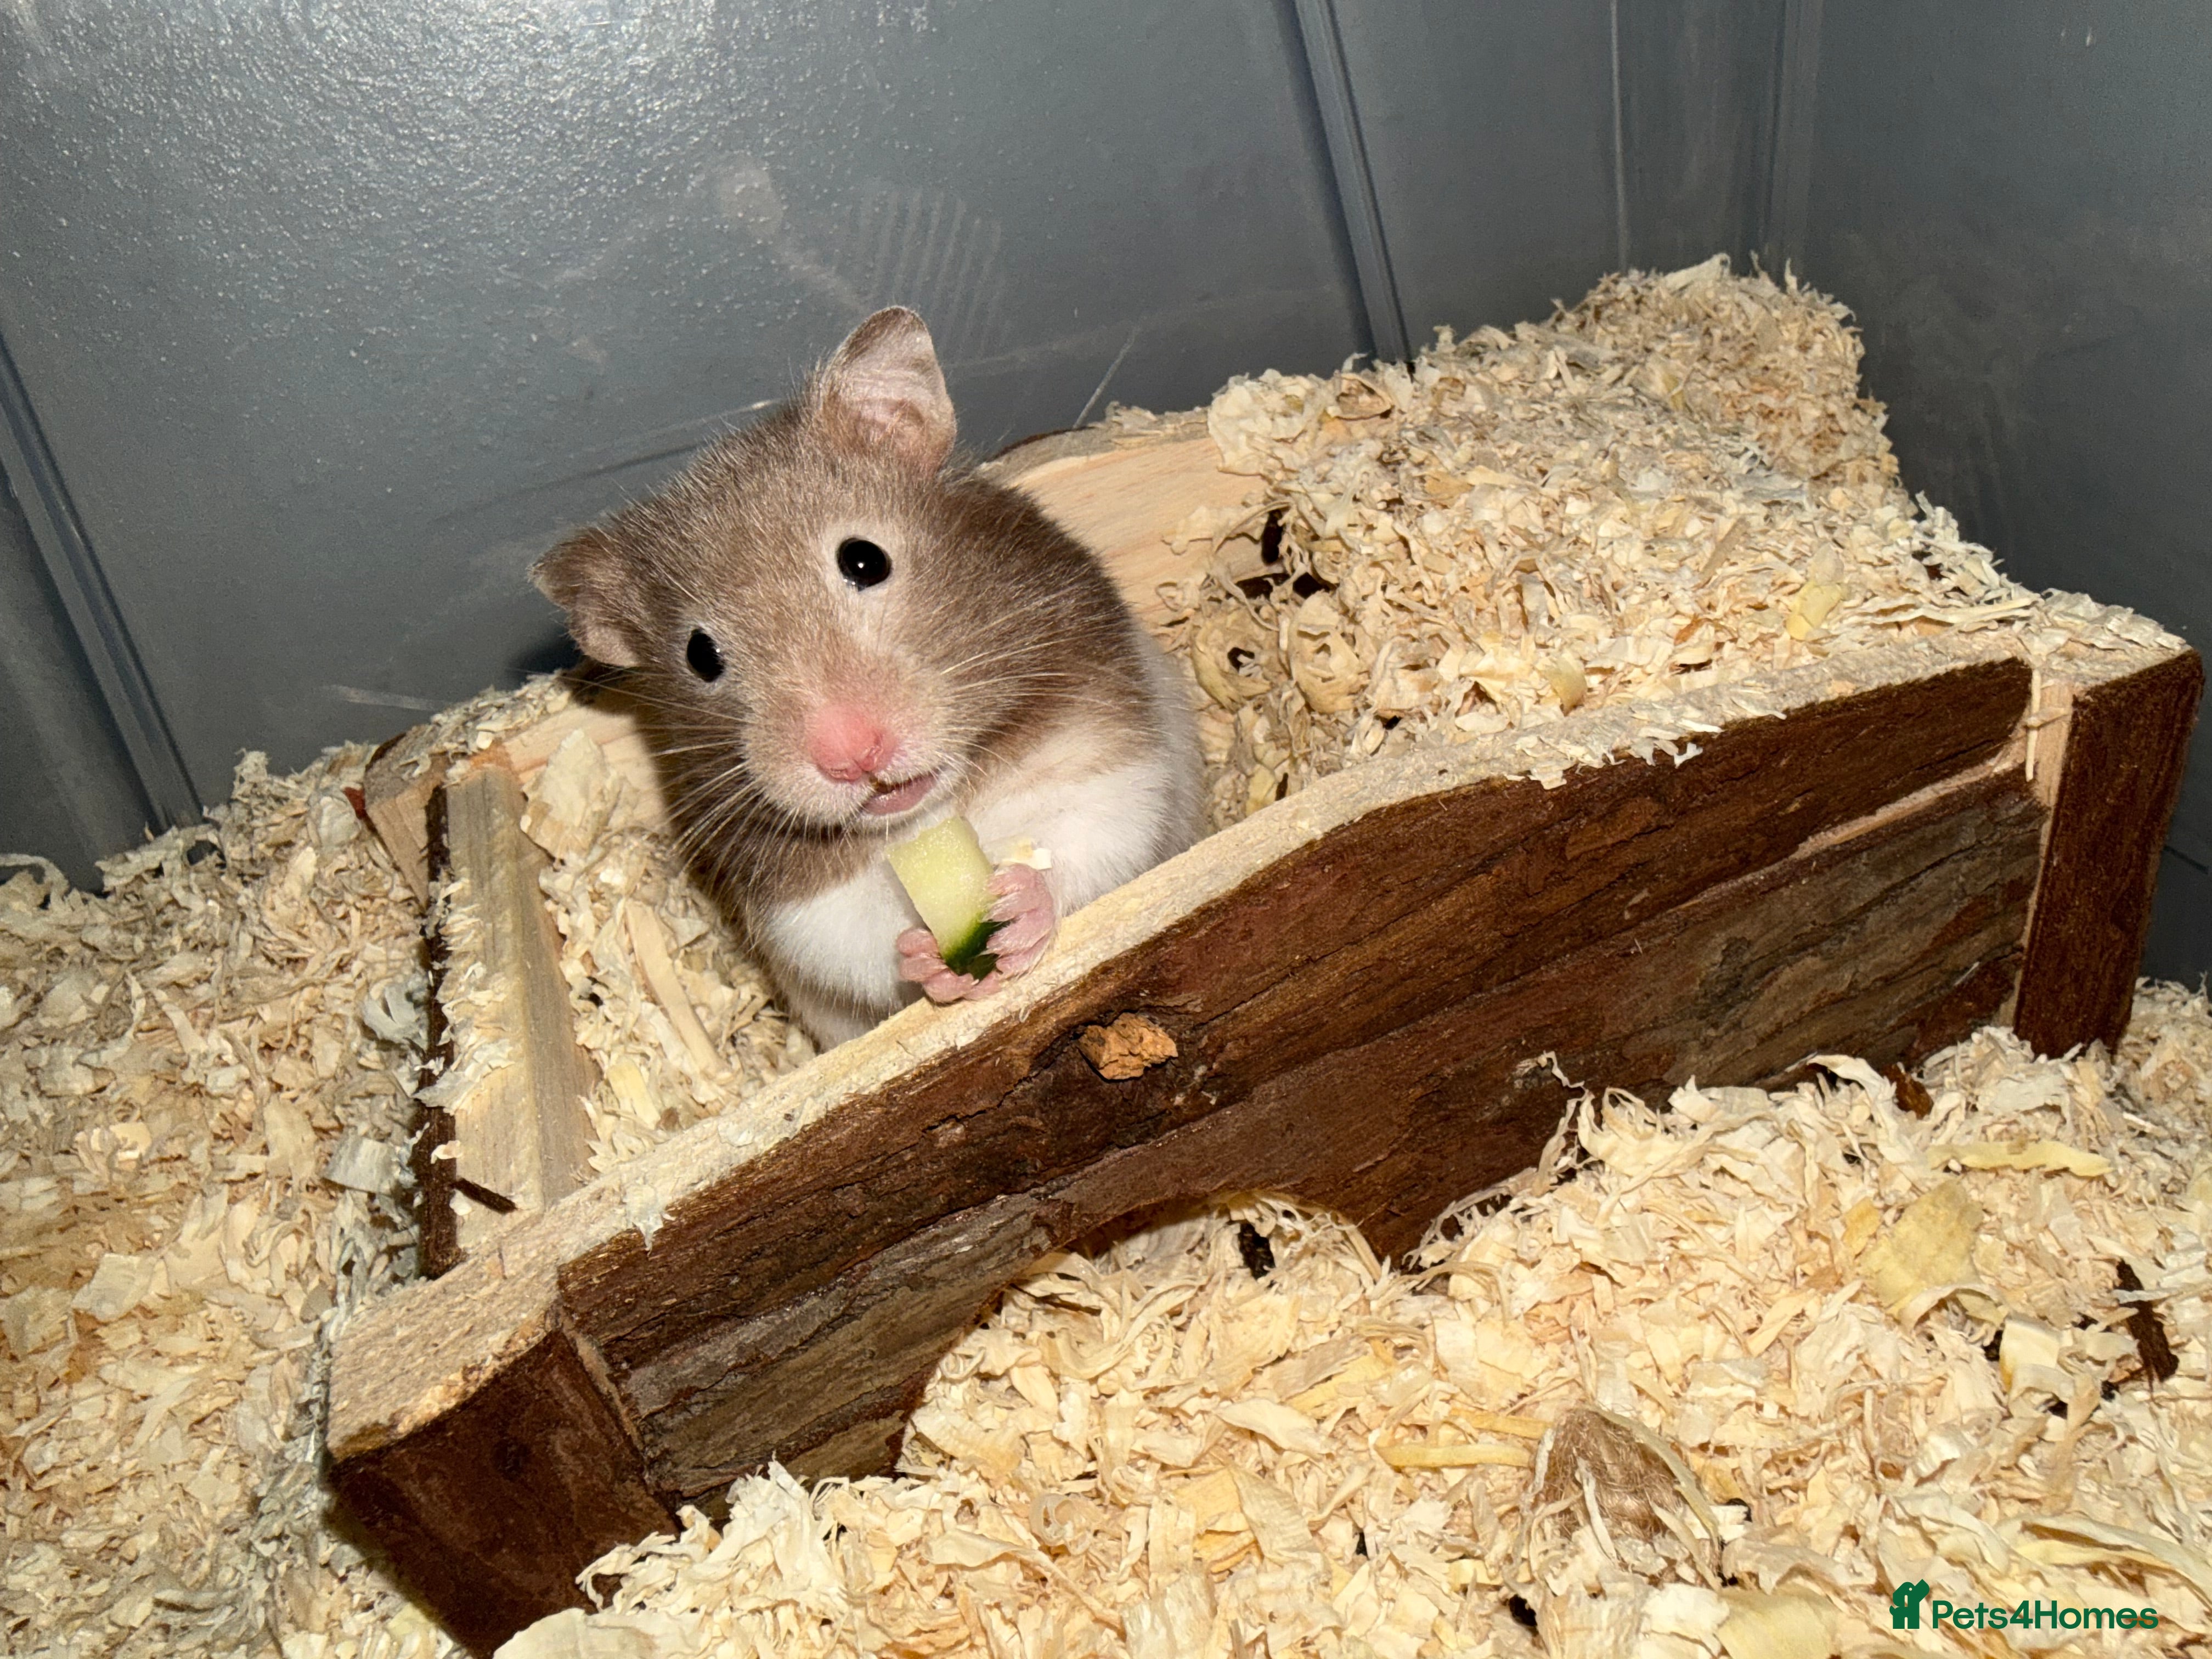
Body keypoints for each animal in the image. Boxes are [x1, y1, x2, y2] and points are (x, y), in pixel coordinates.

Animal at [533, 307, 1204, 1048]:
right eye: (700, 656)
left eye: (864, 560)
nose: (853, 756)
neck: (933, 814)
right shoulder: (804, 914)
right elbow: (866, 946)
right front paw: (931, 960)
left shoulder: (1111, 759)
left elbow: (1086, 841)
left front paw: (1018, 911)